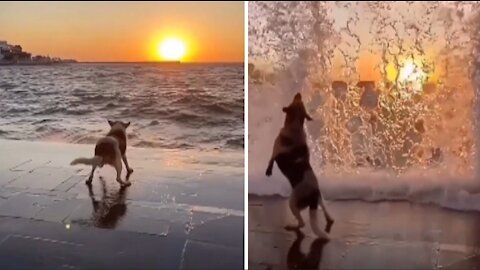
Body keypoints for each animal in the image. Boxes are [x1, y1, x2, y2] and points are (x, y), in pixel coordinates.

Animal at [266, 93, 334, 238]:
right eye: (299, 101)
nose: (298, 94)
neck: (295, 126)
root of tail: (313, 197)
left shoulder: (275, 148)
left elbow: (271, 160)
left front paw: (268, 171)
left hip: (292, 202)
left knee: (302, 223)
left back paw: (291, 226)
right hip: (320, 198)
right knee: (324, 208)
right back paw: (329, 218)